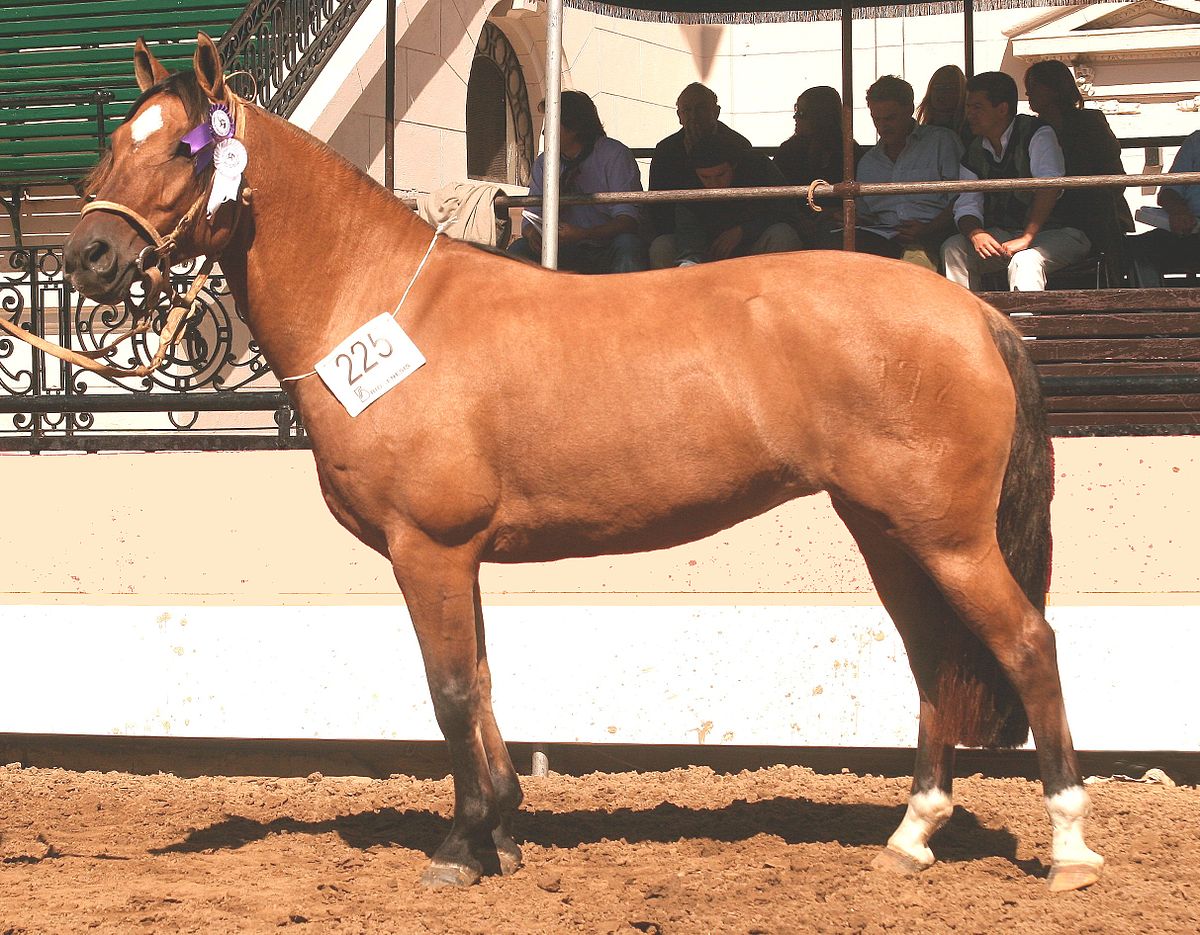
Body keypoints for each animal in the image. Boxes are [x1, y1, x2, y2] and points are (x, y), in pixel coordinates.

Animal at [60, 36, 1099, 897]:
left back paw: (1069, 846)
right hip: (888, 532)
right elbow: (479, 682)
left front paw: (459, 848)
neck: (379, 305)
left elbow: (449, 691)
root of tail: (973, 310)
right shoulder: (457, 556)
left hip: (948, 536)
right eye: (115, 142)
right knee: (932, 661)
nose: (89, 259)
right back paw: (912, 835)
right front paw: (502, 836)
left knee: (1029, 643)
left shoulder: (427, 548)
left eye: (185, 147)